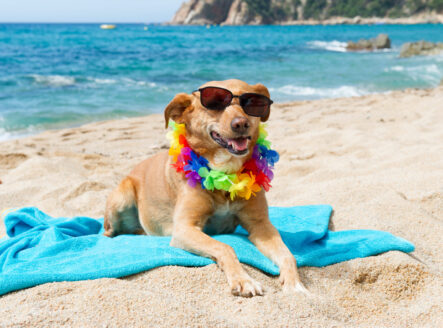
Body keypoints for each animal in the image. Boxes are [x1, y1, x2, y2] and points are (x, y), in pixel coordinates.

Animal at [105, 79, 308, 298]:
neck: (226, 174)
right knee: (109, 231)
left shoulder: (261, 226)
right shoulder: (184, 228)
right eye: (214, 103)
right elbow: (225, 247)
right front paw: (244, 280)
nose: (241, 123)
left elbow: (288, 255)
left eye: (252, 102)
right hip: (122, 196)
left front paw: (295, 284)